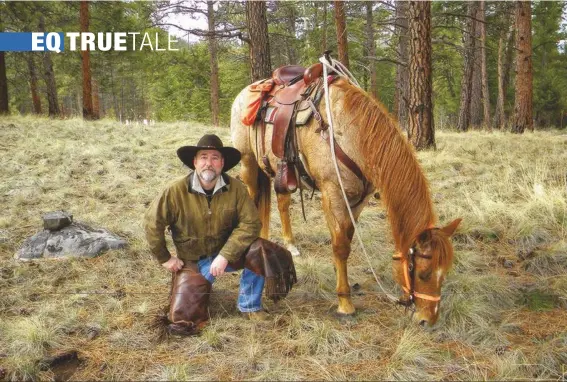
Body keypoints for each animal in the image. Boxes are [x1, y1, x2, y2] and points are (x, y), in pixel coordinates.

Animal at [231, 76, 462, 326]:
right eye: (422, 273)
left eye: (445, 272)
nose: (427, 320)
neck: (355, 135)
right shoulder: (332, 193)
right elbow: (340, 245)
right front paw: (345, 303)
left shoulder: (359, 200)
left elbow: (346, 239)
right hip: (249, 164)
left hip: (281, 174)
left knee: (281, 204)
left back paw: (287, 245)